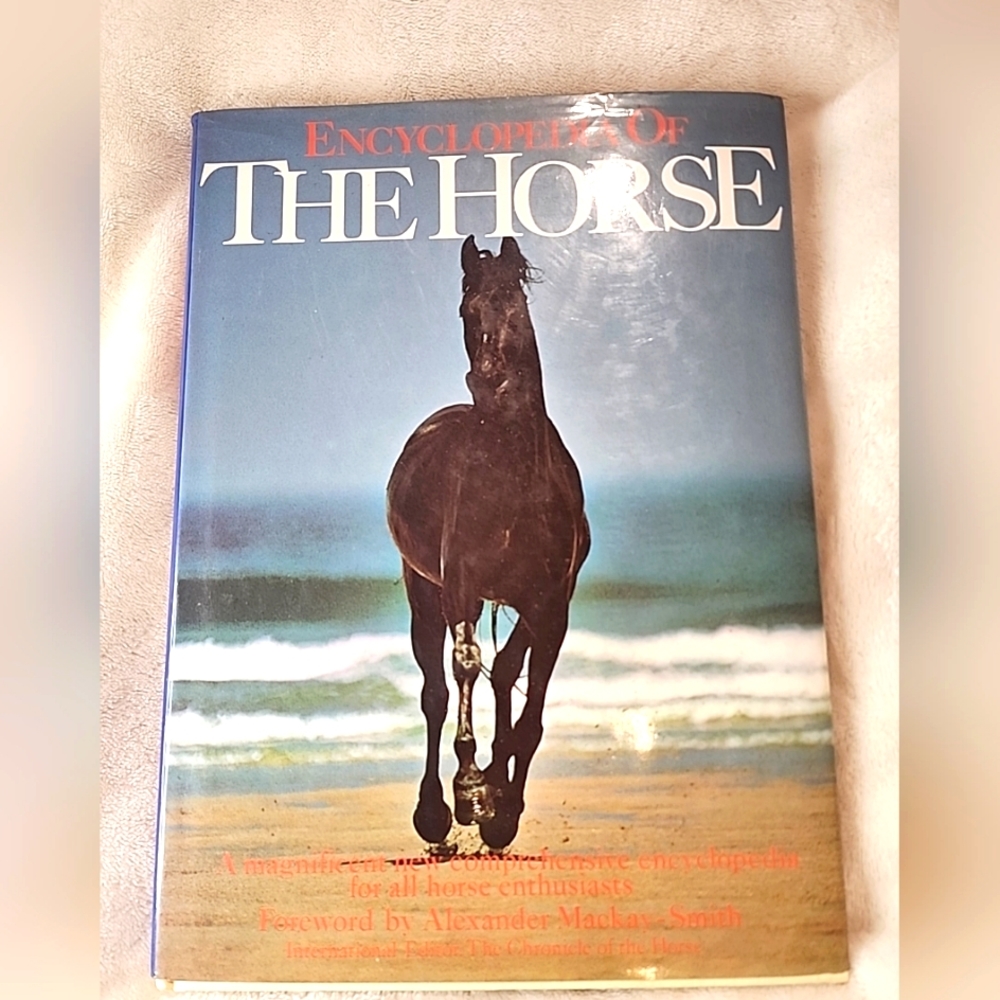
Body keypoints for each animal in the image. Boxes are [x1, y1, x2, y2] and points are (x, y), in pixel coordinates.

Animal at [386, 235, 590, 850]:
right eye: (466, 310)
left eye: (516, 306)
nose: (490, 383)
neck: (515, 482)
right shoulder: (460, 587)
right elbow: (465, 667)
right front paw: (472, 789)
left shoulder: (552, 605)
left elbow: (529, 708)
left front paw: (503, 808)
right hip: (424, 593)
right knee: (437, 692)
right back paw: (435, 812)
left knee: (505, 672)